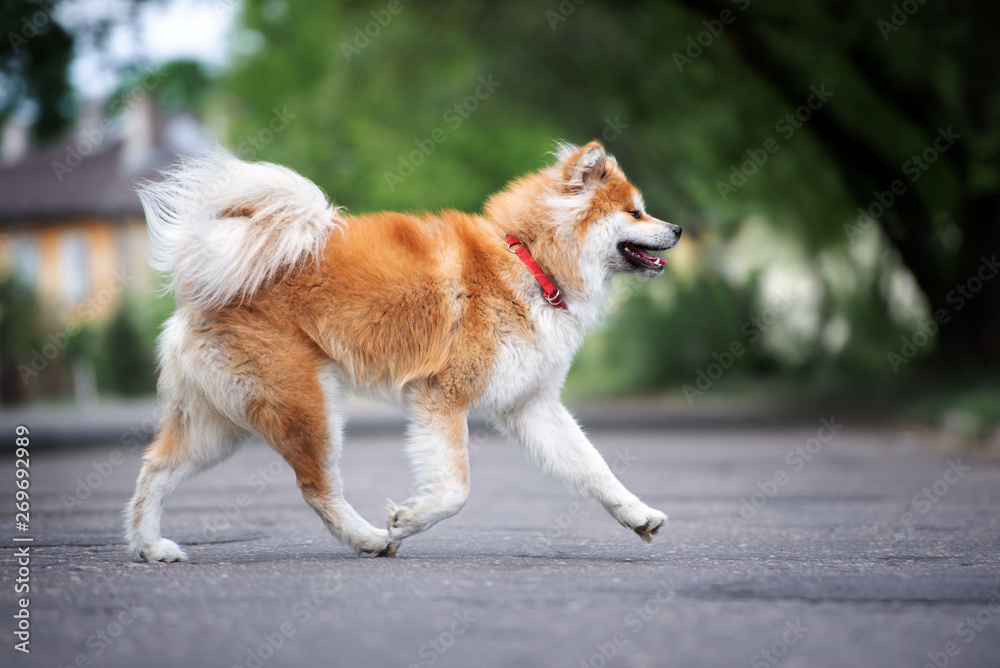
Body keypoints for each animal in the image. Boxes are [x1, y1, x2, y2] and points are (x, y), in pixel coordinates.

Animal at [127, 142, 680, 564]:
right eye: (635, 212)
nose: (677, 229)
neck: (529, 260)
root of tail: (202, 280)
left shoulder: (531, 405)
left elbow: (594, 468)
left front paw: (637, 514)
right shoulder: (442, 399)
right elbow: (456, 490)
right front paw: (408, 520)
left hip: (221, 424)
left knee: (155, 470)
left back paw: (150, 547)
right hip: (308, 405)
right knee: (316, 486)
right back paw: (370, 539)